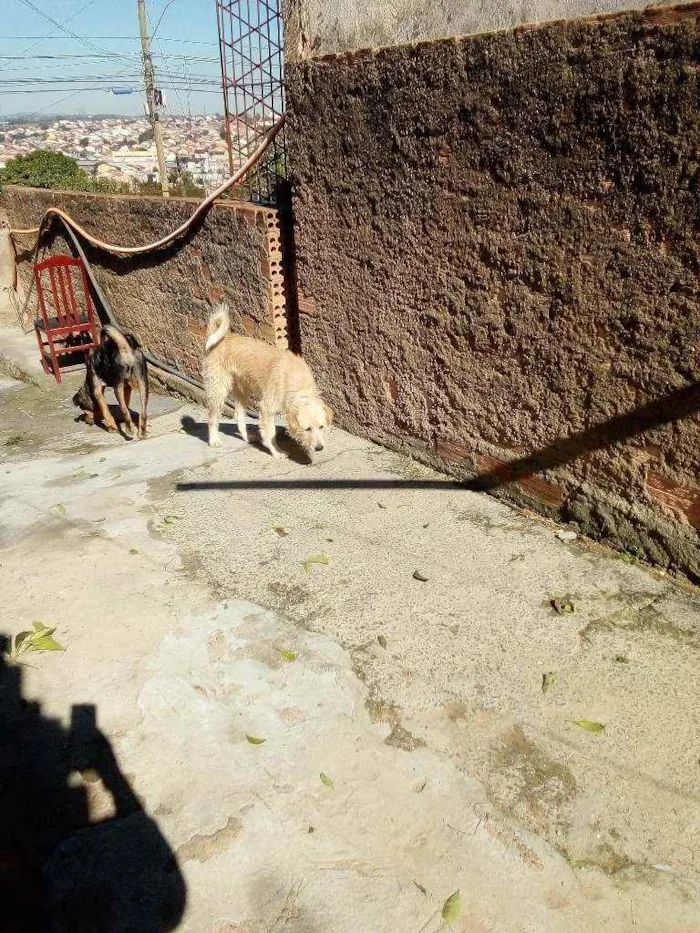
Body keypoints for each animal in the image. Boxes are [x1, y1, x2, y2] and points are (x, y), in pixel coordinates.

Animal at [202, 304, 334, 460]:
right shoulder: (266, 408)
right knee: (212, 417)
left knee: (238, 416)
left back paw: (247, 437)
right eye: (307, 429)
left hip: (242, 390)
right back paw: (214, 440)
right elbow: (270, 433)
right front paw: (276, 451)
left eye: (321, 427)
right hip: (219, 388)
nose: (319, 448)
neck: (296, 381)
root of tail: (223, 339)